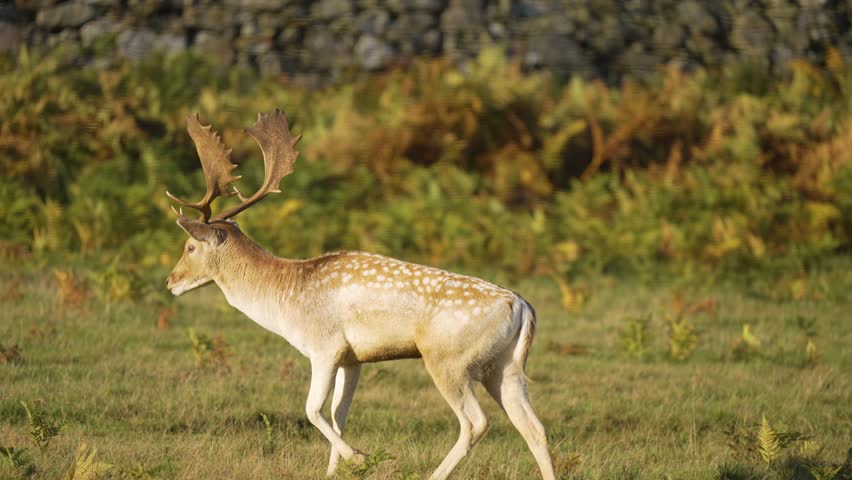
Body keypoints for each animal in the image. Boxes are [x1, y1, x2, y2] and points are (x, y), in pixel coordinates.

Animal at [165, 110, 557, 480]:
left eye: (189, 247)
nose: (170, 281)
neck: (286, 298)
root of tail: (521, 306)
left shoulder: (324, 346)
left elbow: (312, 410)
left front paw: (359, 457)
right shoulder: (352, 359)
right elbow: (338, 414)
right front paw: (333, 471)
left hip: (450, 360)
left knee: (476, 423)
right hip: (503, 367)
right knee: (534, 428)